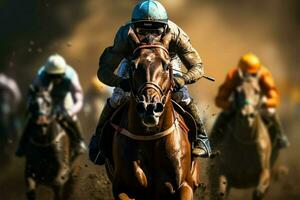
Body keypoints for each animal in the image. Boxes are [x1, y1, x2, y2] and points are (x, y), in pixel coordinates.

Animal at [207, 70, 278, 200]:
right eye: (237, 91)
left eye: (257, 91)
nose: (247, 115)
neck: (245, 141)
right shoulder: (221, 172)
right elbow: (220, 192)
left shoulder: (265, 171)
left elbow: (259, 191)